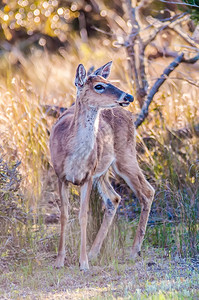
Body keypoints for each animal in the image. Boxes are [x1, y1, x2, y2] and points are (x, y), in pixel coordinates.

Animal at [49, 62, 154, 270]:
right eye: (99, 86)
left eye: (108, 81)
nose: (128, 97)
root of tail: (128, 114)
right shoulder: (60, 176)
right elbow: (64, 215)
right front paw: (59, 261)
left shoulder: (88, 176)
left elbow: (83, 215)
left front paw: (83, 263)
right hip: (103, 171)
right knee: (114, 198)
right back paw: (94, 252)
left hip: (125, 155)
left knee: (147, 191)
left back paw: (134, 251)